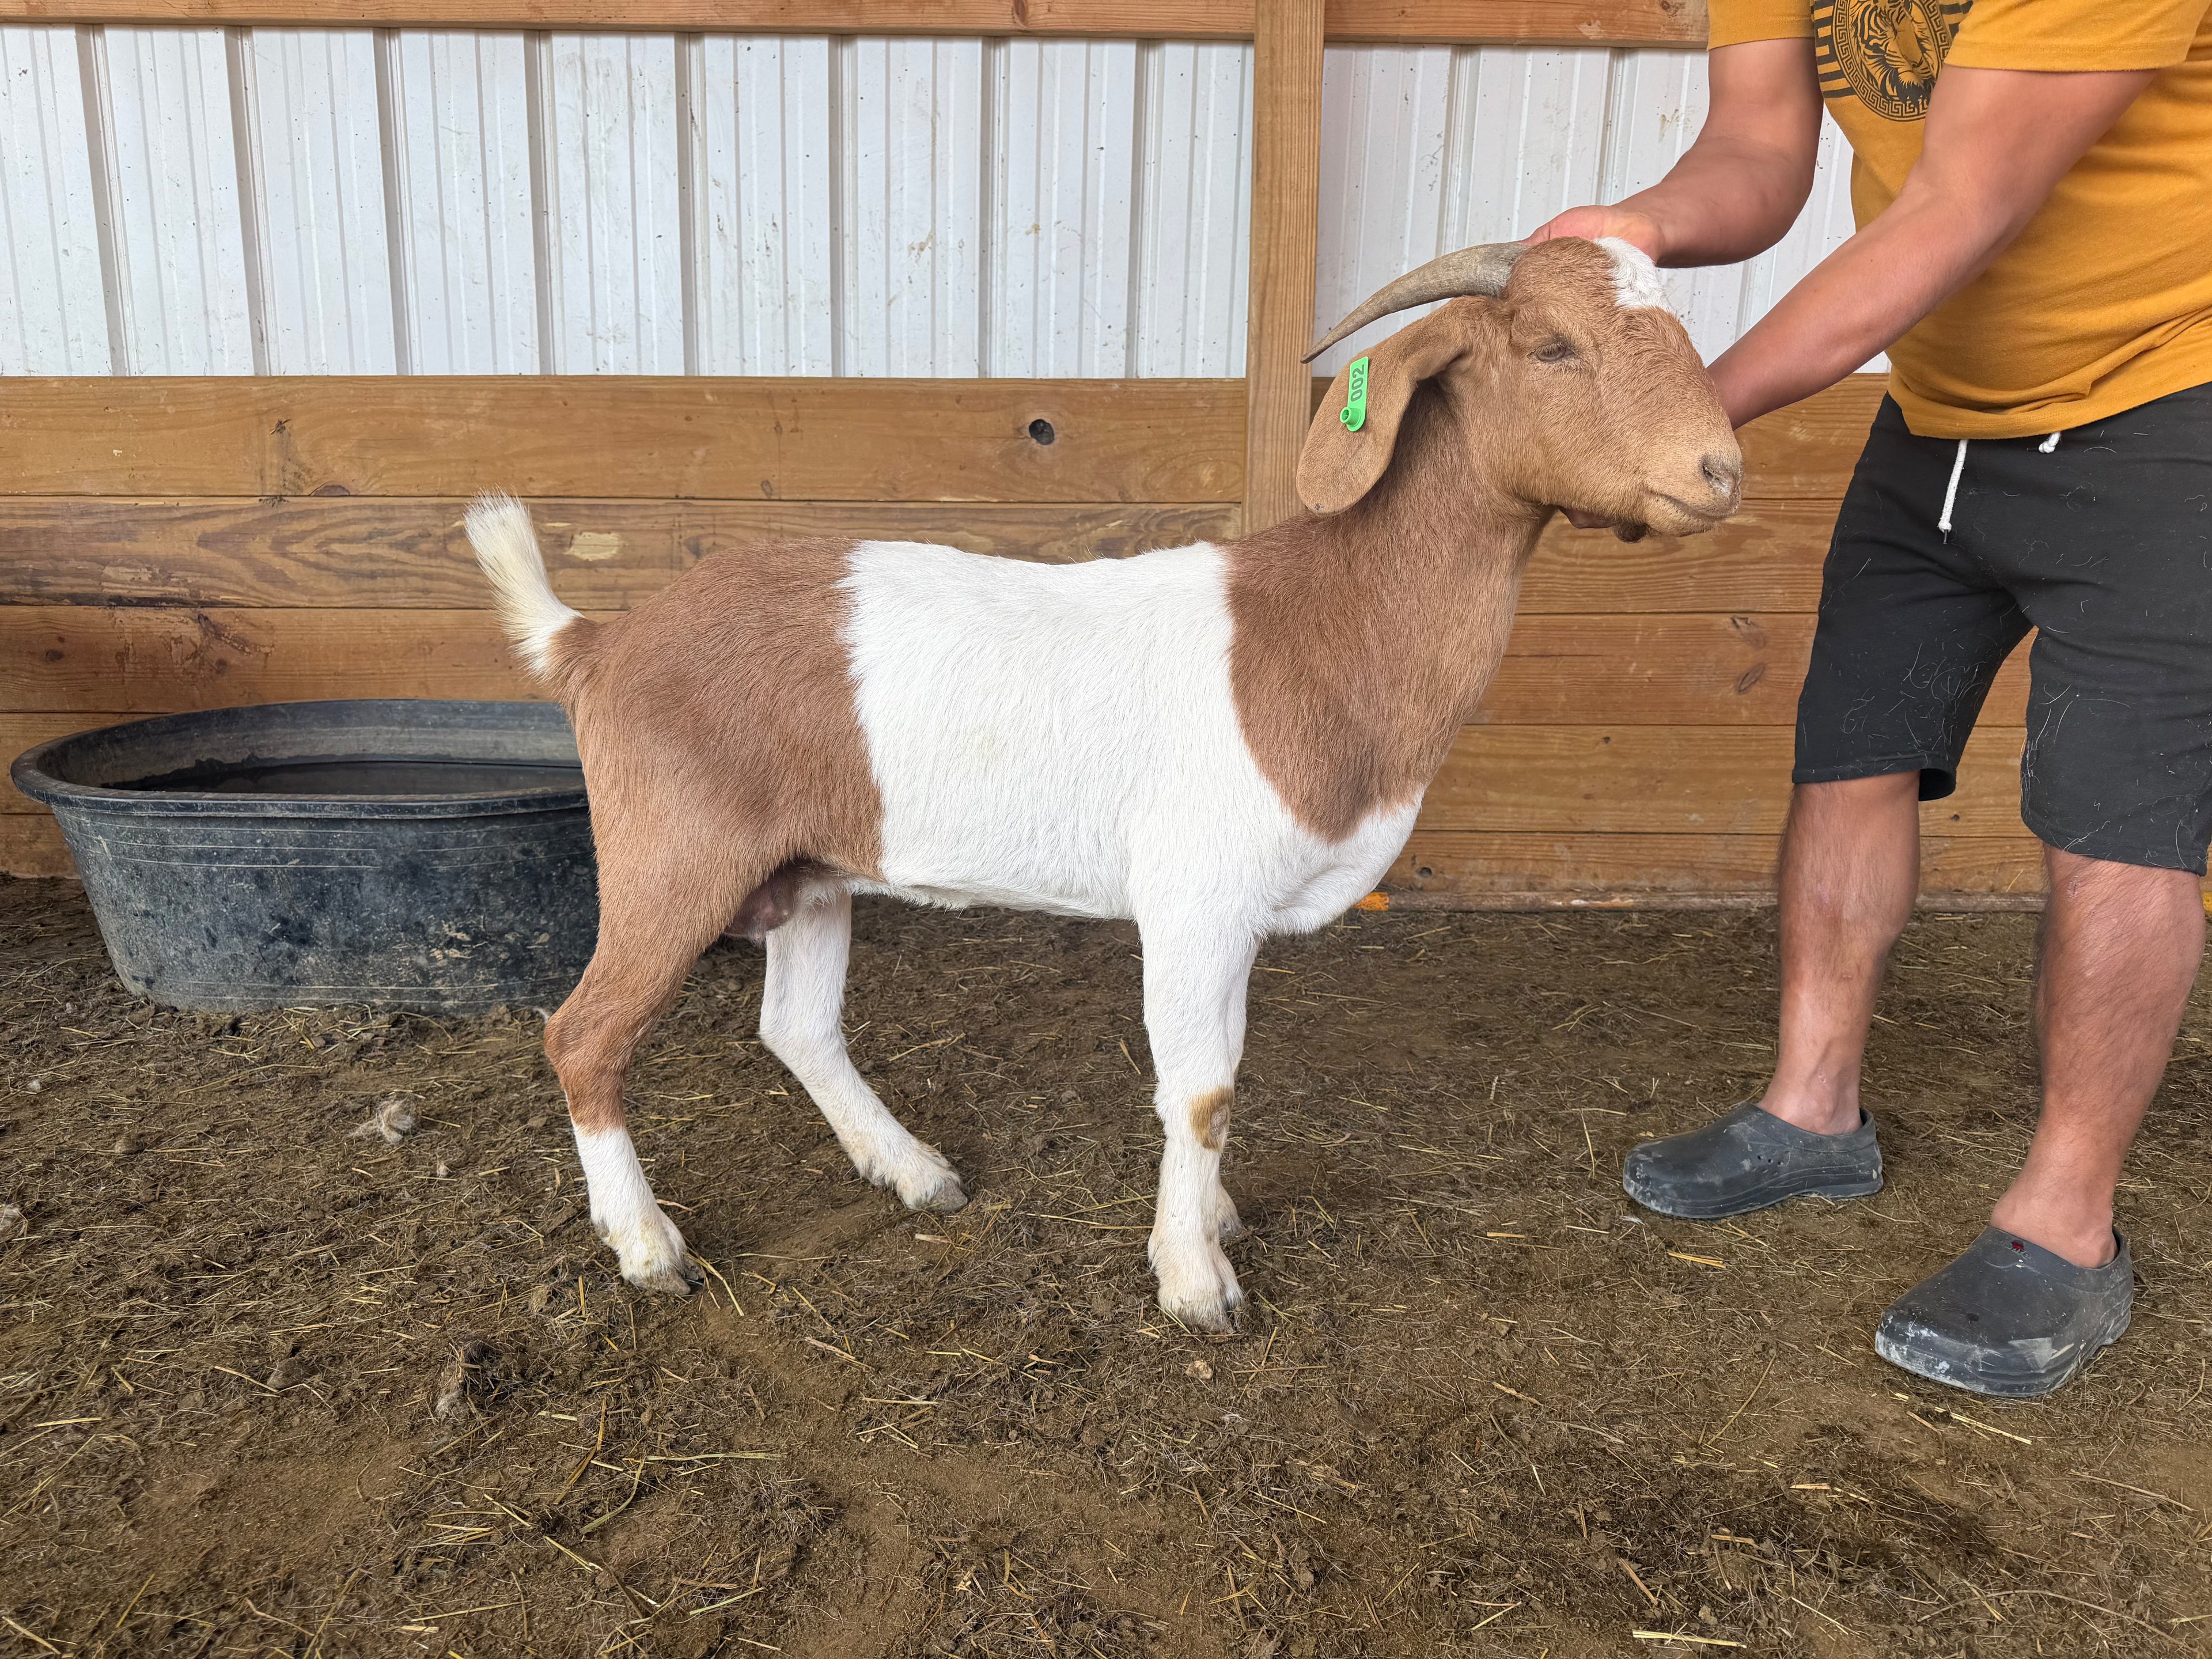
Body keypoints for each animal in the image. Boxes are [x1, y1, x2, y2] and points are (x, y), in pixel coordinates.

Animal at [466, 235, 1740, 1332]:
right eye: (1553, 346)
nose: (1721, 470)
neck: (1324, 624)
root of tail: (594, 644)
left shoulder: (1233, 918)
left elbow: (1222, 1080)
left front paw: (1214, 1220)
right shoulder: (1195, 898)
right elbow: (1202, 1089)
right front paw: (1195, 1279)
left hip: (810, 867)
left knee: (798, 1028)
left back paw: (914, 1171)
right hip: (673, 854)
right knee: (584, 1034)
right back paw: (648, 1247)